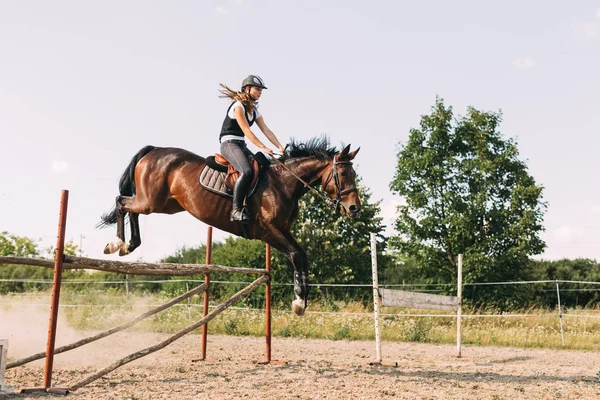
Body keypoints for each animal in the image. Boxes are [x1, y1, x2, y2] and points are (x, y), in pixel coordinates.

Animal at [98, 138, 360, 316]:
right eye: (343, 173)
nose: (354, 208)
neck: (284, 182)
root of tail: (154, 150)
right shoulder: (268, 231)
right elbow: (296, 255)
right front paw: (298, 302)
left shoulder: (283, 231)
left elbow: (302, 256)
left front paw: (301, 302)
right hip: (150, 201)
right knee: (121, 202)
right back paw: (117, 243)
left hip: (164, 204)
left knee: (131, 209)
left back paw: (130, 245)